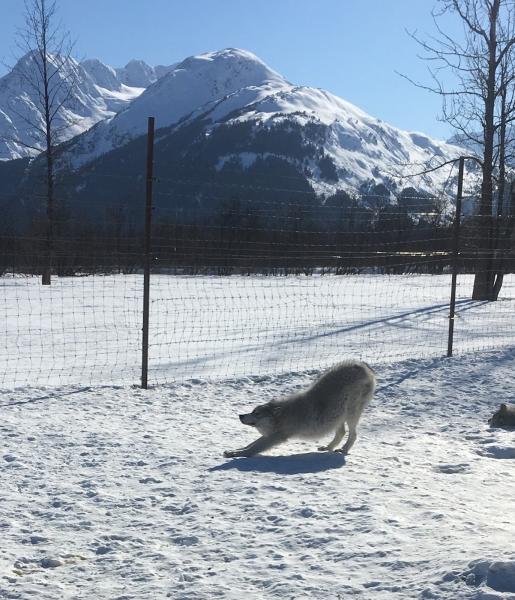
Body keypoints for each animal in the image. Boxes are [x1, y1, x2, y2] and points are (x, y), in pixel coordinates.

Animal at [224, 358, 376, 458]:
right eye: (252, 411)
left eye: (257, 413)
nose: (240, 416)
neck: (282, 416)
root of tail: (363, 365)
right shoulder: (272, 435)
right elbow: (249, 444)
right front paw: (234, 450)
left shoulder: (277, 436)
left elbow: (252, 449)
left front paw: (236, 454)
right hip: (337, 416)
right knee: (341, 433)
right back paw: (327, 448)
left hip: (350, 414)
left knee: (353, 434)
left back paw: (343, 450)